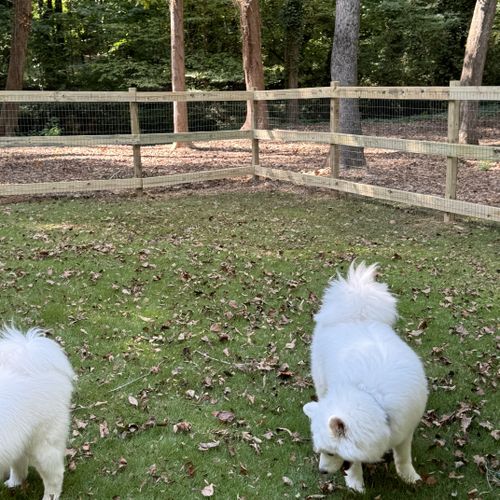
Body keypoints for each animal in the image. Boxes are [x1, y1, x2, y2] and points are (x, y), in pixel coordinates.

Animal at [302, 262, 428, 492]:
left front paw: (409, 476)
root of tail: (356, 313)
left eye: (330, 452)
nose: (321, 471)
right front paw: (355, 482)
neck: (373, 399)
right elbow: (355, 462)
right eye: (320, 451)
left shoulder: (405, 430)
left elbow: (403, 457)